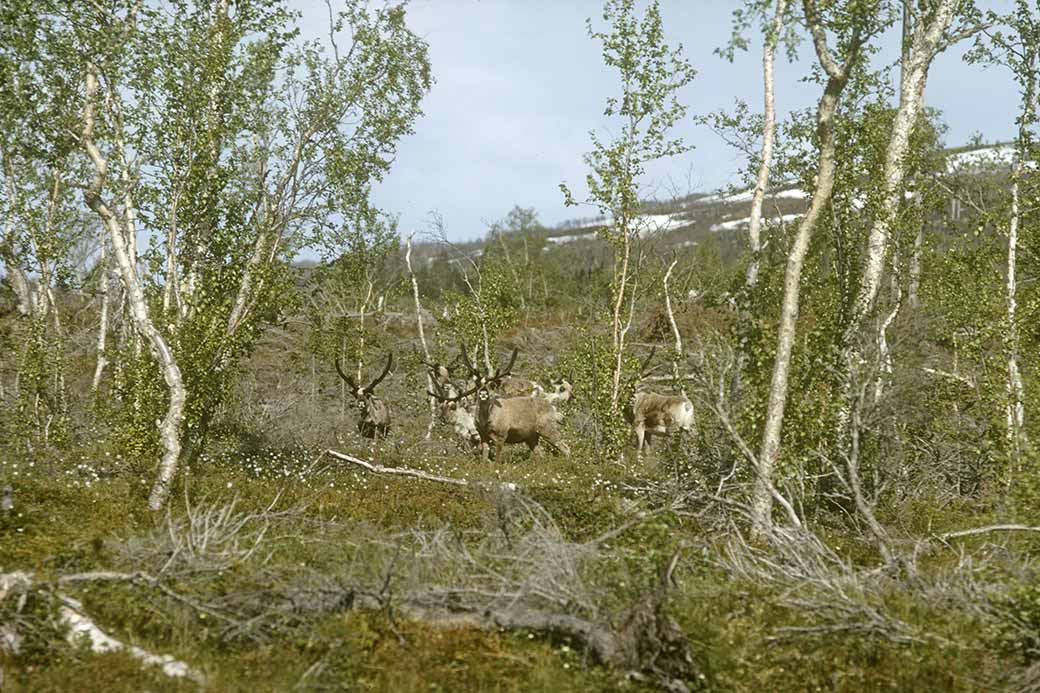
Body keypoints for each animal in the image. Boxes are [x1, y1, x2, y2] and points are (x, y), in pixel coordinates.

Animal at [429, 346, 570, 463]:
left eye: (453, 406)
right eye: (441, 407)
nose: (442, 419)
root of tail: (553, 408)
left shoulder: (499, 437)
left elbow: (496, 459)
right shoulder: (483, 437)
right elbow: (484, 459)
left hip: (548, 430)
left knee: (565, 448)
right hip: (531, 437)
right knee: (540, 454)